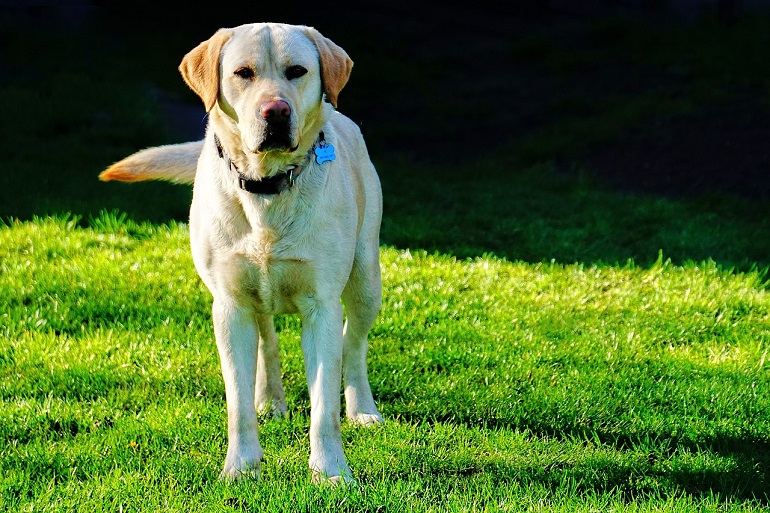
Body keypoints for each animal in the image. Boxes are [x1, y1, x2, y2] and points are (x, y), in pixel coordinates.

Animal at [100, 21, 382, 484]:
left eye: (297, 71)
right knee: (268, 340)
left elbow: (324, 405)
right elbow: (237, 403)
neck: (266, 188)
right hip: (255, 296)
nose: (276, 112)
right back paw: (269, 400)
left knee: (353, 344)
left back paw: (362, 409)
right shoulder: (229, 305)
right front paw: (242, 468)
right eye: (243, 73)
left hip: (365, 279)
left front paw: (331, 473)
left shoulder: (321, 305)